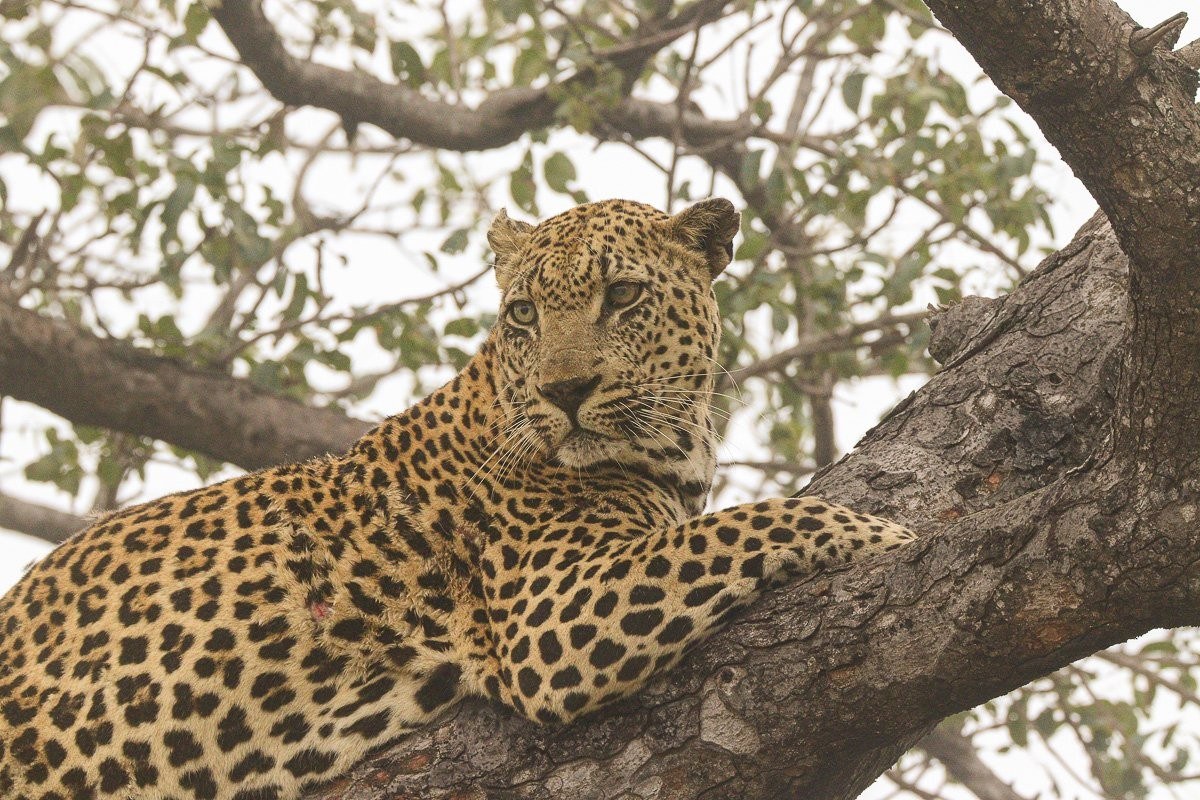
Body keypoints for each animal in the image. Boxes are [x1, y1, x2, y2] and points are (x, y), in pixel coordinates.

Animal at [0, 197, 916, 800]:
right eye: (524, 313)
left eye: (622, 296)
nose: (566, 391)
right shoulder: (552, 616)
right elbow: (743, 524)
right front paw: (881, 532)